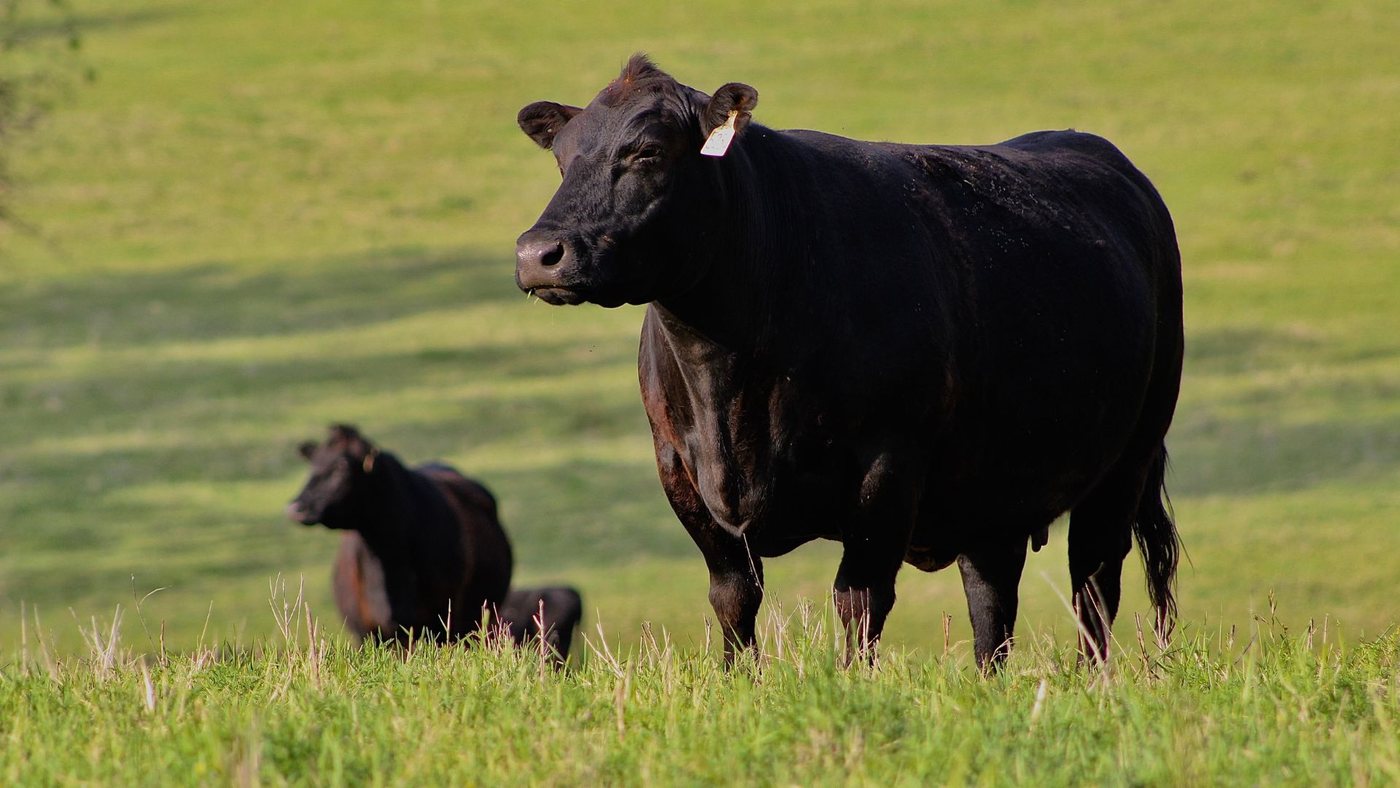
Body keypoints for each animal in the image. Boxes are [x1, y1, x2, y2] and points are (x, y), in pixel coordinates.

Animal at [513, 55, 1183, 670]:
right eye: (563, 159)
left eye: (648, 151)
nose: (537, 253)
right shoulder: (679, 468)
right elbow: (733, 598)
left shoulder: (888, 463)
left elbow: (859, 600)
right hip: (993, 485)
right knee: (993, 597)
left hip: (1127, 457)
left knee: (1094, 584)